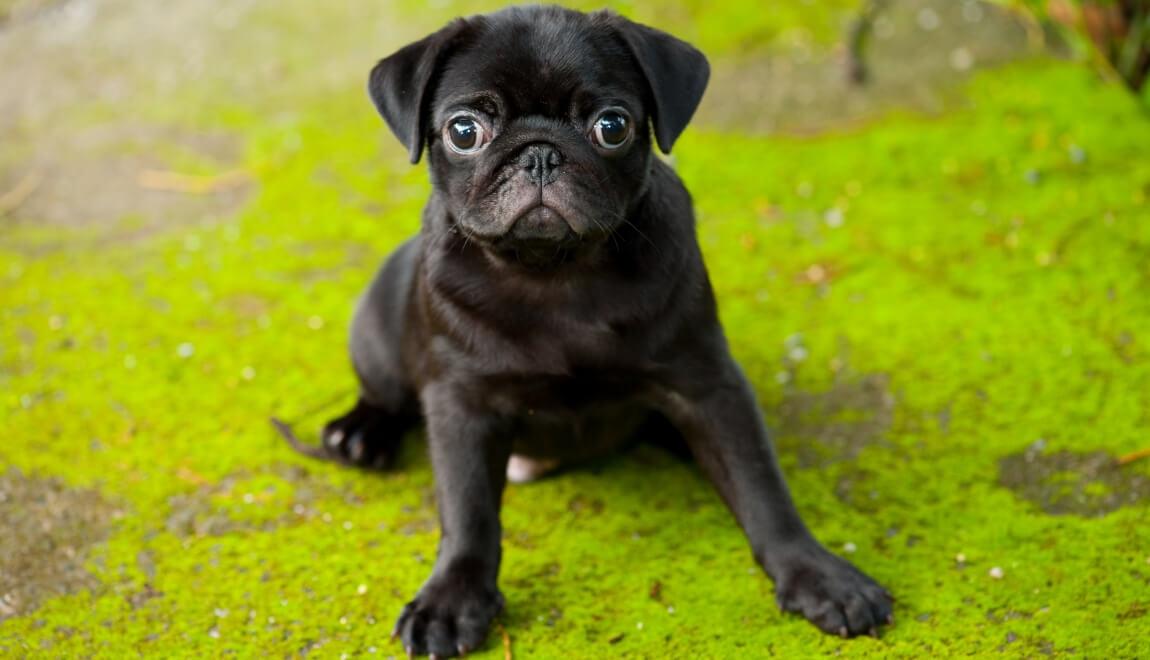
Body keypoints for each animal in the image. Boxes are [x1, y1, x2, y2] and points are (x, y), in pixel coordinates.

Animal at [282, 3, 892, 657]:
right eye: (464, 131)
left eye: (612, 126)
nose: (540, 154)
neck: (557, 274)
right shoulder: (461, 403)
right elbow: (468, 512)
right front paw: (451, 600)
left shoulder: (707, 388)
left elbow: (761, 487)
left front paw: (817, 575)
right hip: (378, 328)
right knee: (384, 394)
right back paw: (359, 434)